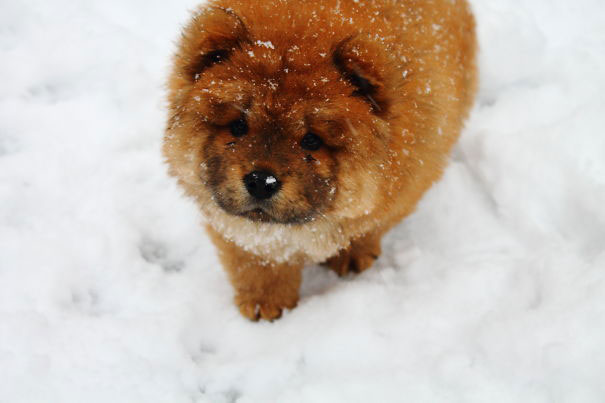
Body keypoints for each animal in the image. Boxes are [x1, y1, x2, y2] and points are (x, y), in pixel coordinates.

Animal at [164, 0, 476, 322]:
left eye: (311, 140)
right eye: (238, 126)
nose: (261, 181)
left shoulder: (408, 181)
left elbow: (369, 224)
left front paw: (352, 255)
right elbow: (256, 260)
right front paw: (266, 301)